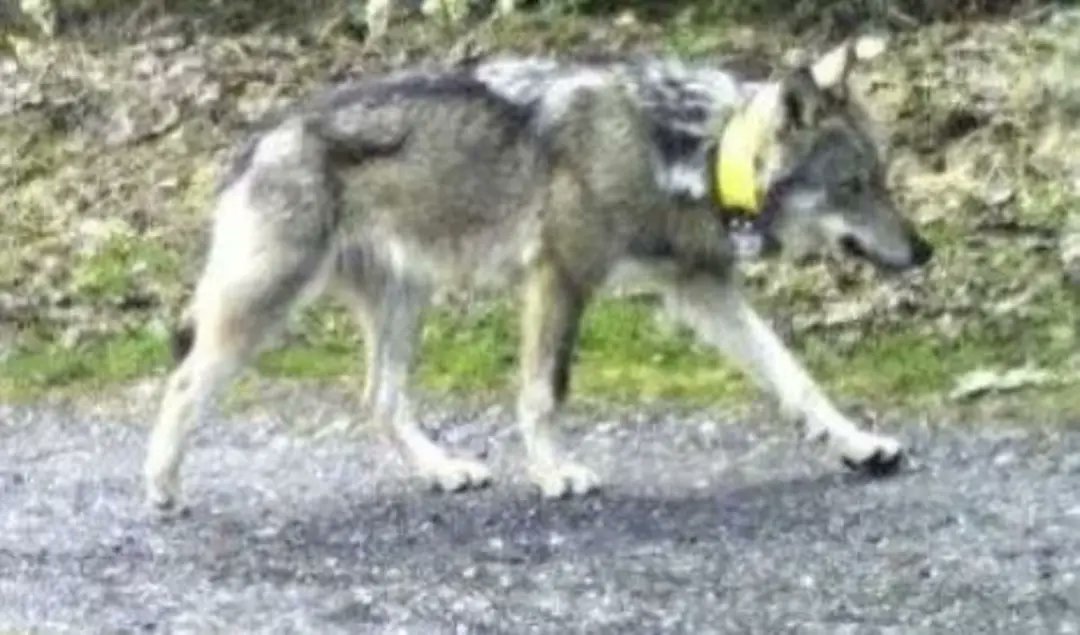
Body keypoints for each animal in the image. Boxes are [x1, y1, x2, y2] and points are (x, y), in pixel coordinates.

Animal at [144, 35, 933, 511]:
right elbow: (544, 393)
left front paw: (858, 445)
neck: (691, 151)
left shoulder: (702, 290)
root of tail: (258, 137)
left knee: (379, 400)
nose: (925, 253)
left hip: (406, 303)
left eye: (884, 179)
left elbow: (795, 377)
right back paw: (162, 488)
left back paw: (444, 470)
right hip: (263, 310)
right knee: (182, 383)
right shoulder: (561, 277)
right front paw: (555, 474)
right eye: (855, 185)